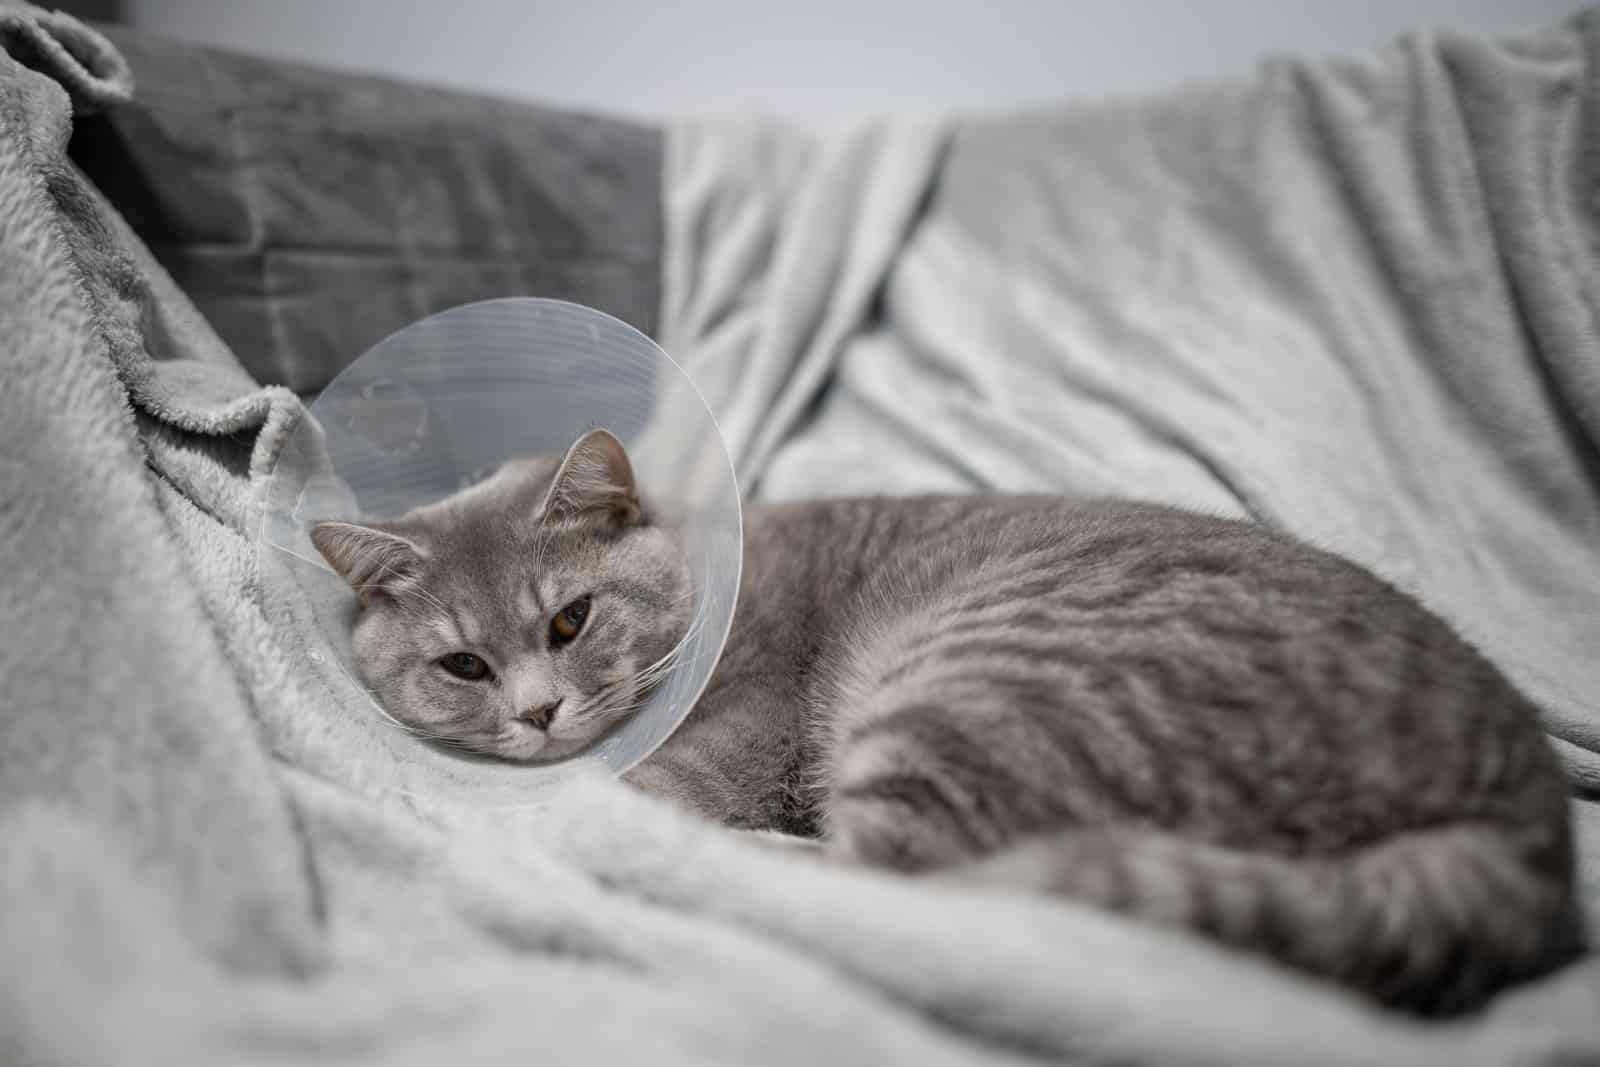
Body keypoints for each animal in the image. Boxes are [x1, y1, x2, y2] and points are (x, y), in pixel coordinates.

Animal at [308, 428, 1574, 1017]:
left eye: (569, 619)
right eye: (464, 662)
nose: (536, 710)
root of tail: (1528, 812)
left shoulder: (728, 747)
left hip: (965, 694)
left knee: (892, 883)